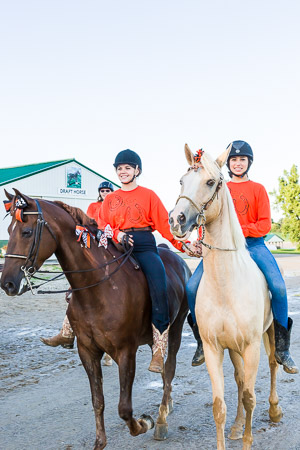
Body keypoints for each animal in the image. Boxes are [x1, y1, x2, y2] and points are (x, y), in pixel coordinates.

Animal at [0, 190, 190, 450]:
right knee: (161, 367)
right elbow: (97, 401)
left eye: (26, 232)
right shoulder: (87, 351)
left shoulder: (125, 352)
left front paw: (145, 423)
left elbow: (124, 408)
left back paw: (161, 419)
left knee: (169, 369)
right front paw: (100, 442)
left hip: (176, 328)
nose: (7, 283)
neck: (99, 287)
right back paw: (167, 403)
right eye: (9, 230)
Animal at [170, 146, 282, 448]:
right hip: (233, 348)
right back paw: (236, 425)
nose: (176, 219)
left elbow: (250, 397)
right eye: (182, 181)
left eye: (210, 182)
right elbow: (220, 405)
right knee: (240, 378)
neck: (226, 286)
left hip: (266, 336)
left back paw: (274, 409)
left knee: (272, 365)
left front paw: (248, 438)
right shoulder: (214, 348)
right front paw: (232, 429)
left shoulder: (252, 346)